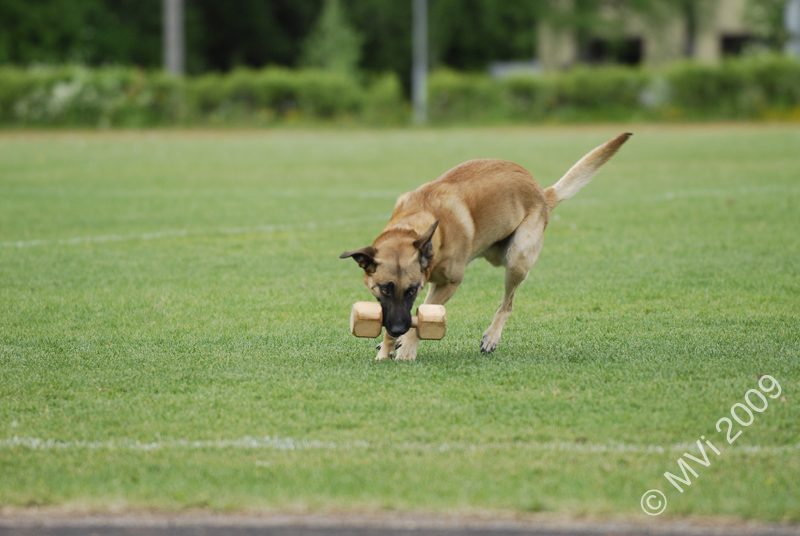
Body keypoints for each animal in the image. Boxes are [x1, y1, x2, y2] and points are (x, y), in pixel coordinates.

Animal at [338, 132, 632, 362]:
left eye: (411, 290)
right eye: (385, 289)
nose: (398, 329)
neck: (418, 224)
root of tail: (542, 193)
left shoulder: (449, 284)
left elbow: (421, 316)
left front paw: (406, 348)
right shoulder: (422, 287)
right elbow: (412, 314)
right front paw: (388, 347)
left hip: (517, 258)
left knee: (508, 303)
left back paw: (491, 337)